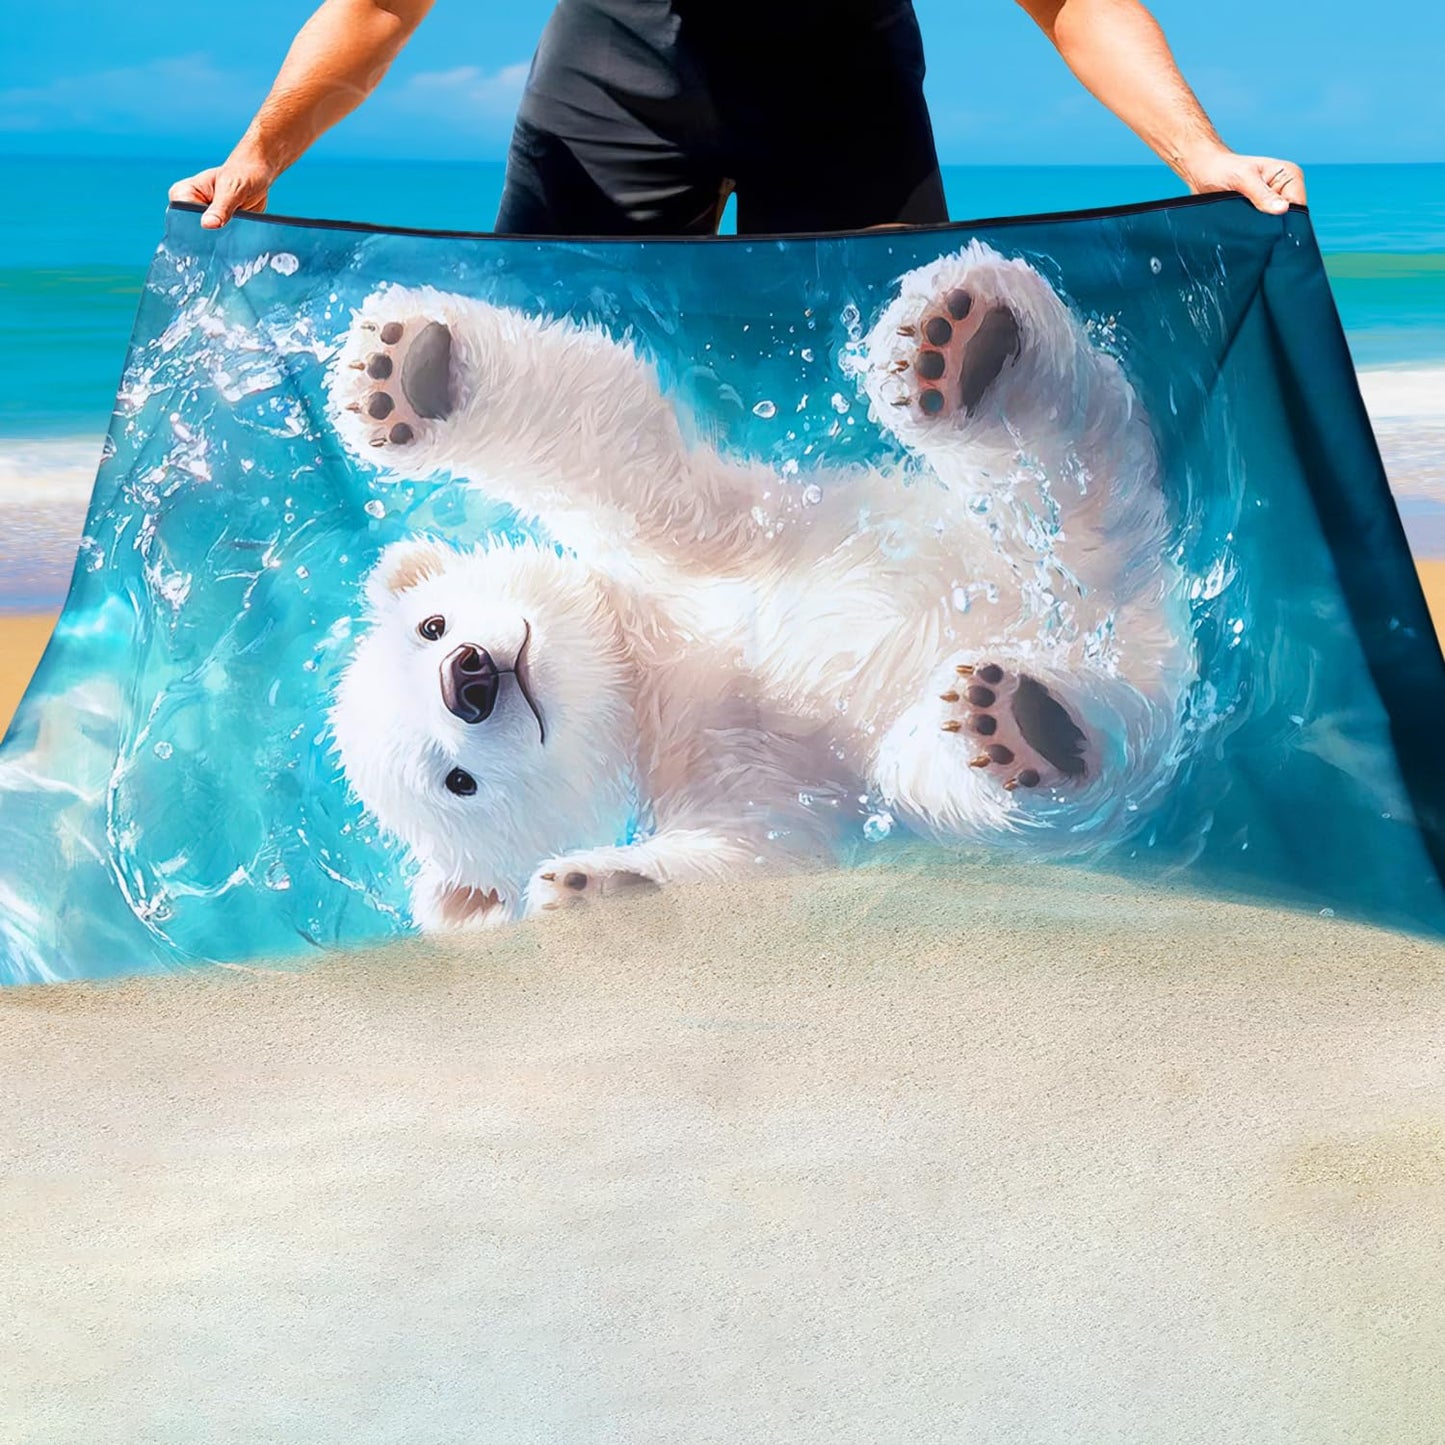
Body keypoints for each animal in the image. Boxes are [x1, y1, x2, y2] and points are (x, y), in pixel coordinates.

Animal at [325, 241, 1195, 929]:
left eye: (430, 626)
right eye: (455, 780)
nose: (468, 677)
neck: (651, 675)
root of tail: (1136, 621)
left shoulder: (691, 542)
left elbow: (604, 426)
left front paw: (399, 372)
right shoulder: (746, 764)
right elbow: (758, 854)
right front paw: (592, 883)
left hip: (1043, 523)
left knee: (1052, 446)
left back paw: (964, 345)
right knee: (985, 775)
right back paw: (1027, 721)